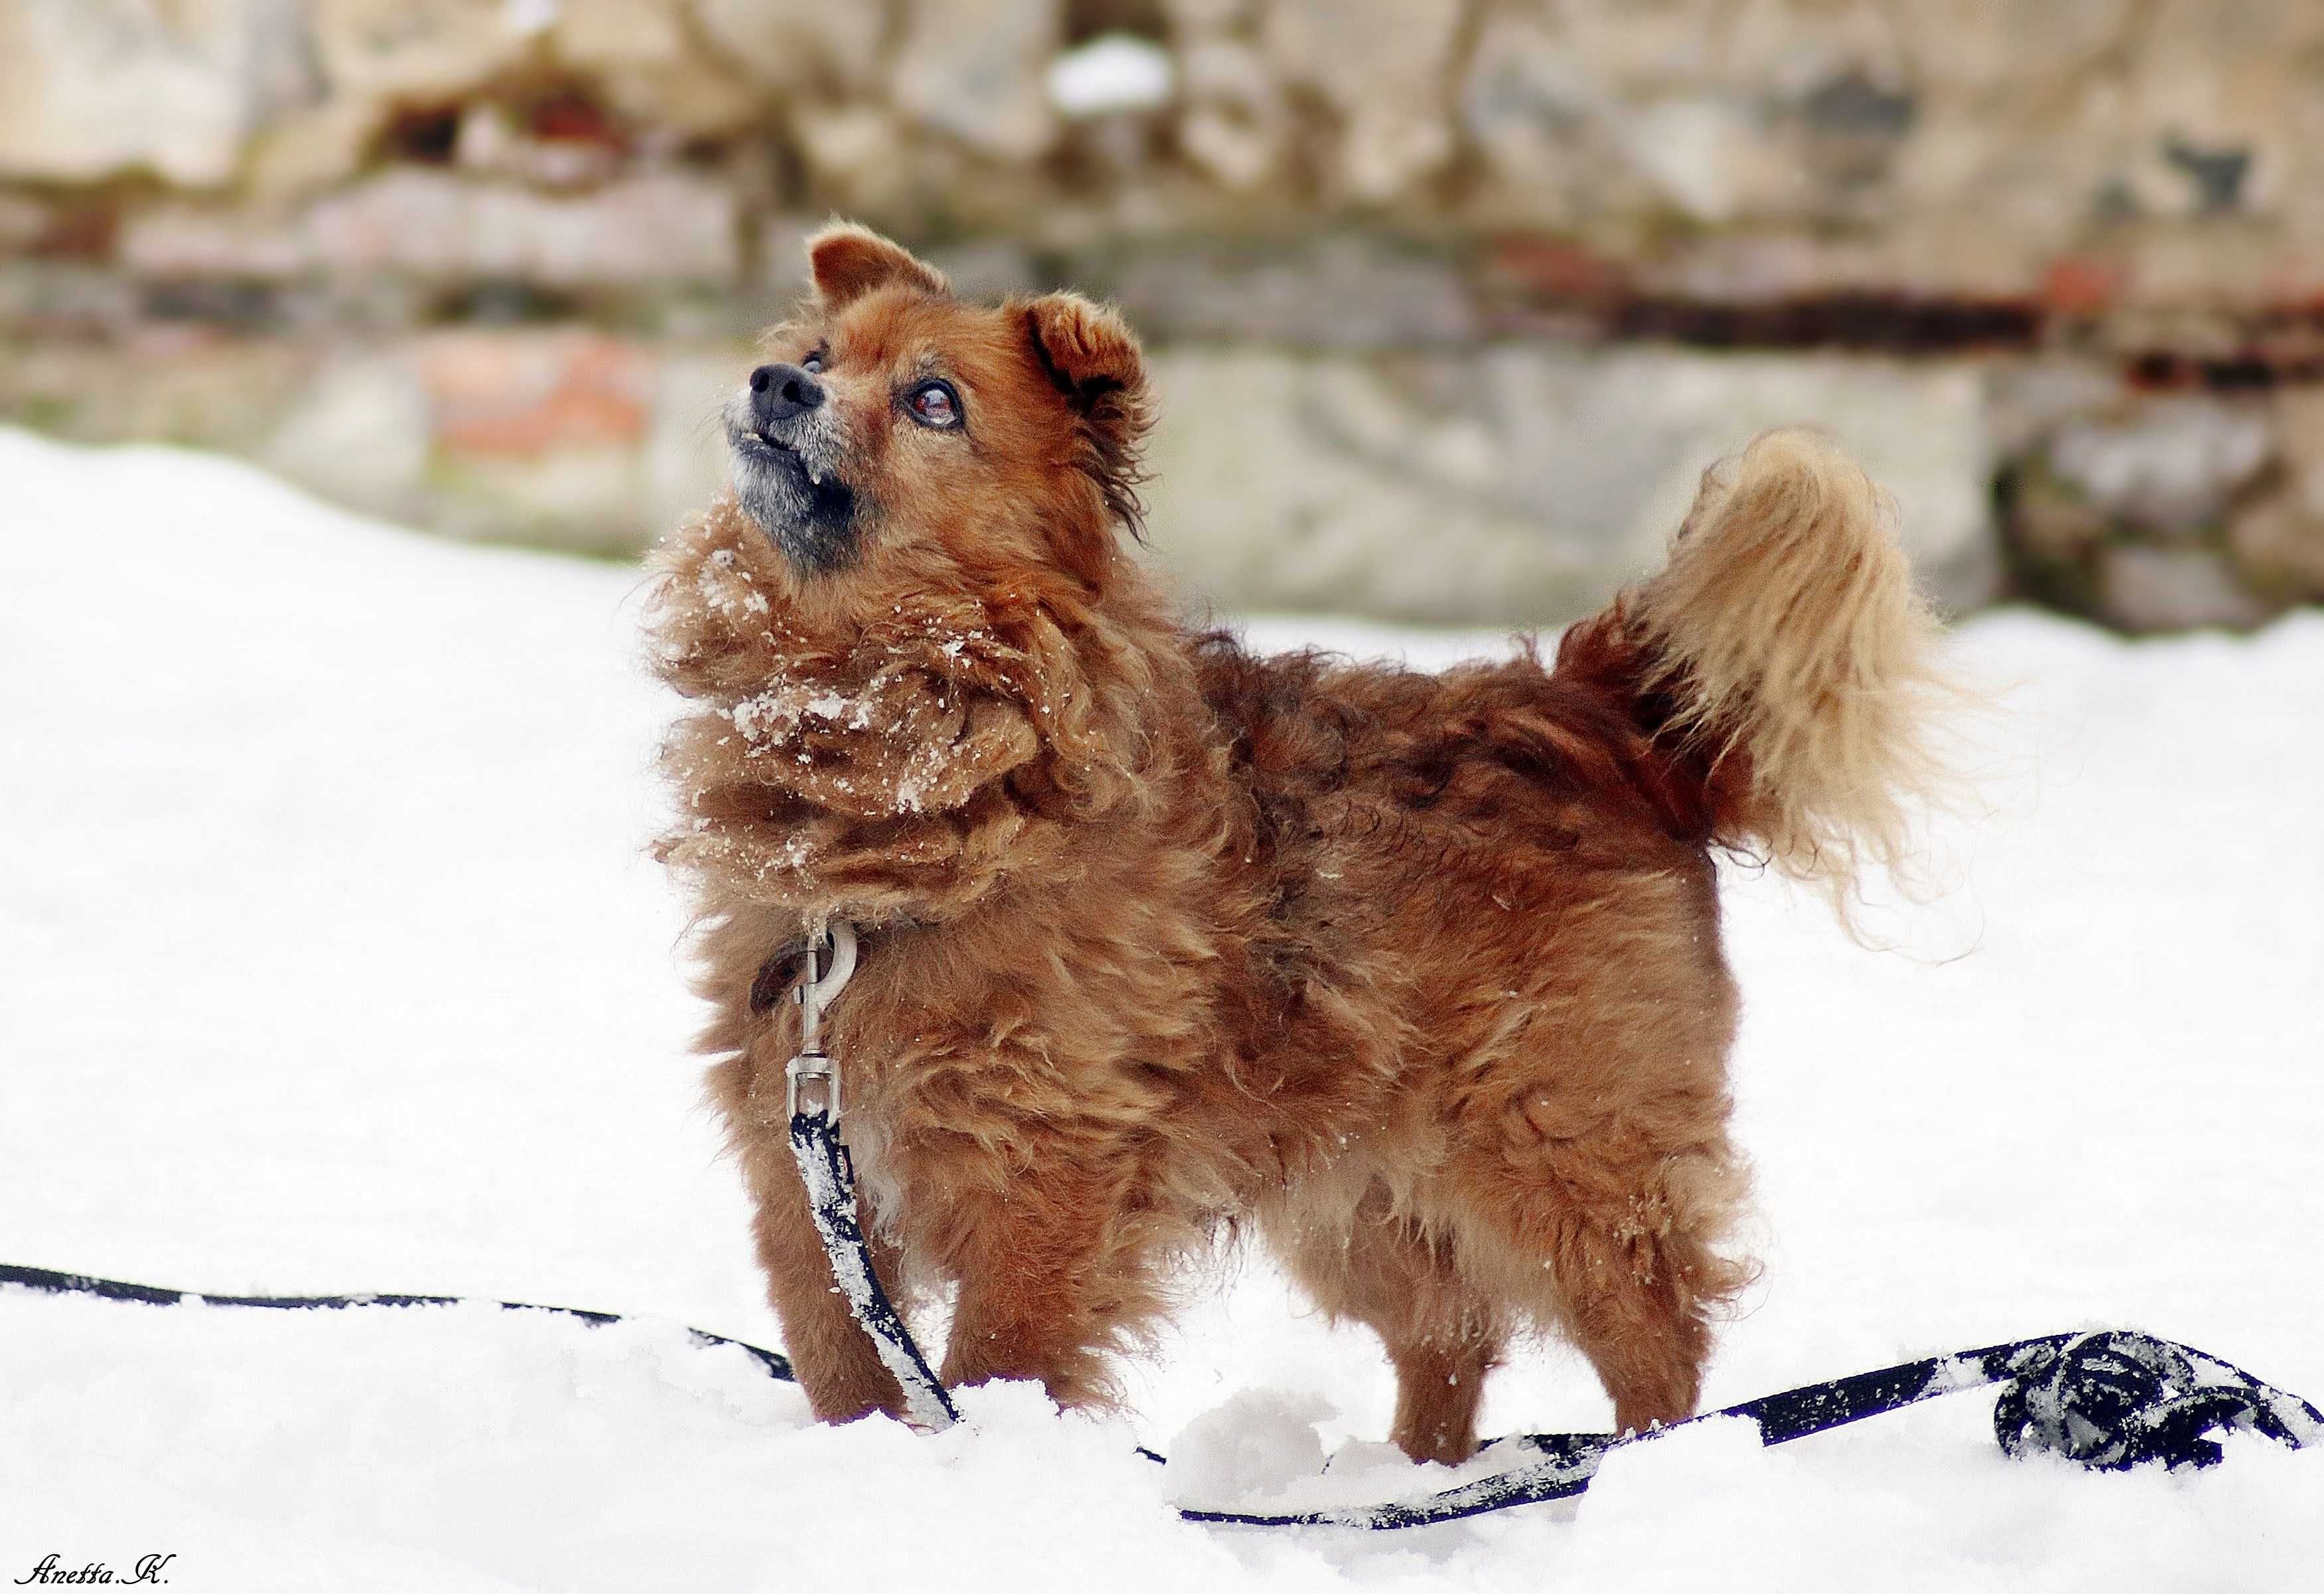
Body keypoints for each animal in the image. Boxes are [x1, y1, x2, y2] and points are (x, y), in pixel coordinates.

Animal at [646, 227, 1952, 1478]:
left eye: (932, 401)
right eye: (817, 357)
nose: (775, 383)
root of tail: (1585, 711)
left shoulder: (1043, 1167)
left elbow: (992, 1366)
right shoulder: (800, 1161)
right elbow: (843, 1363)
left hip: (1562, 1146)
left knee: (1655, 1345)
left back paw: (1635, 1486)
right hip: (1354, 1191)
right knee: (1450, 1335)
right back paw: (1404, 1490)